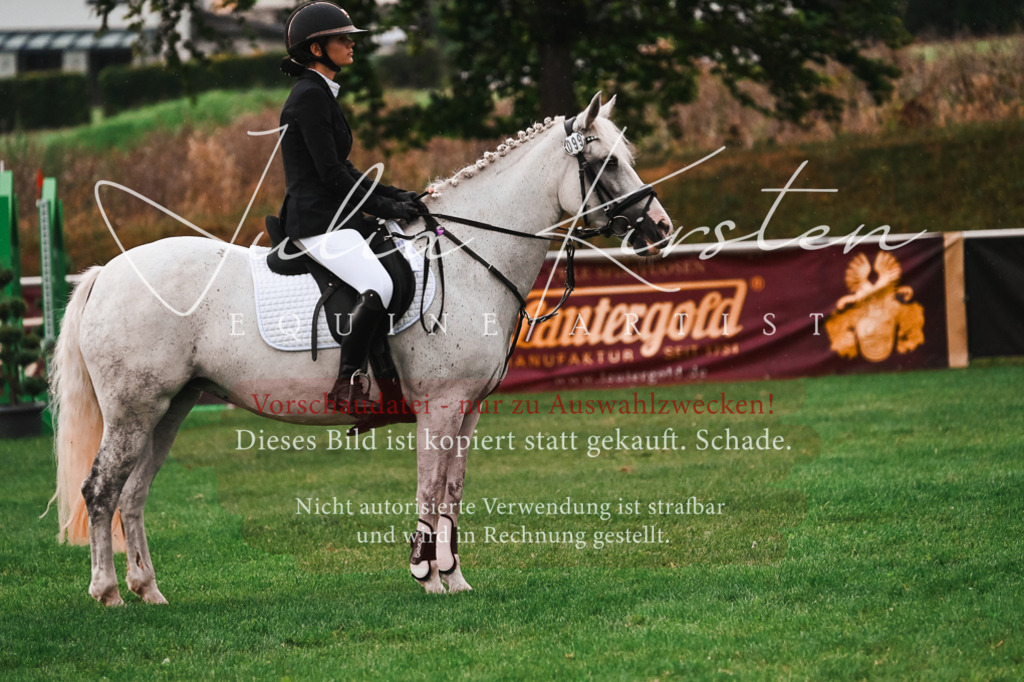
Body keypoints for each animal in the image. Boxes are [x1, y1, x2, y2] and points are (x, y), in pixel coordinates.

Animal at [51, 92, 673, 604]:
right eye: (607, 162)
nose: (661, 231)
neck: (469, 259)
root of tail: (108, 272)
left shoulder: (467, 410)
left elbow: (452, 493)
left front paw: (456, 578)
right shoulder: (439, 406)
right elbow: (429, 488)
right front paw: (428, 577)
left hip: (169, 407)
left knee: (133, 494)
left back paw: (149, 591)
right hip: (134, 409)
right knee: (101, 490)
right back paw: (108, 593)